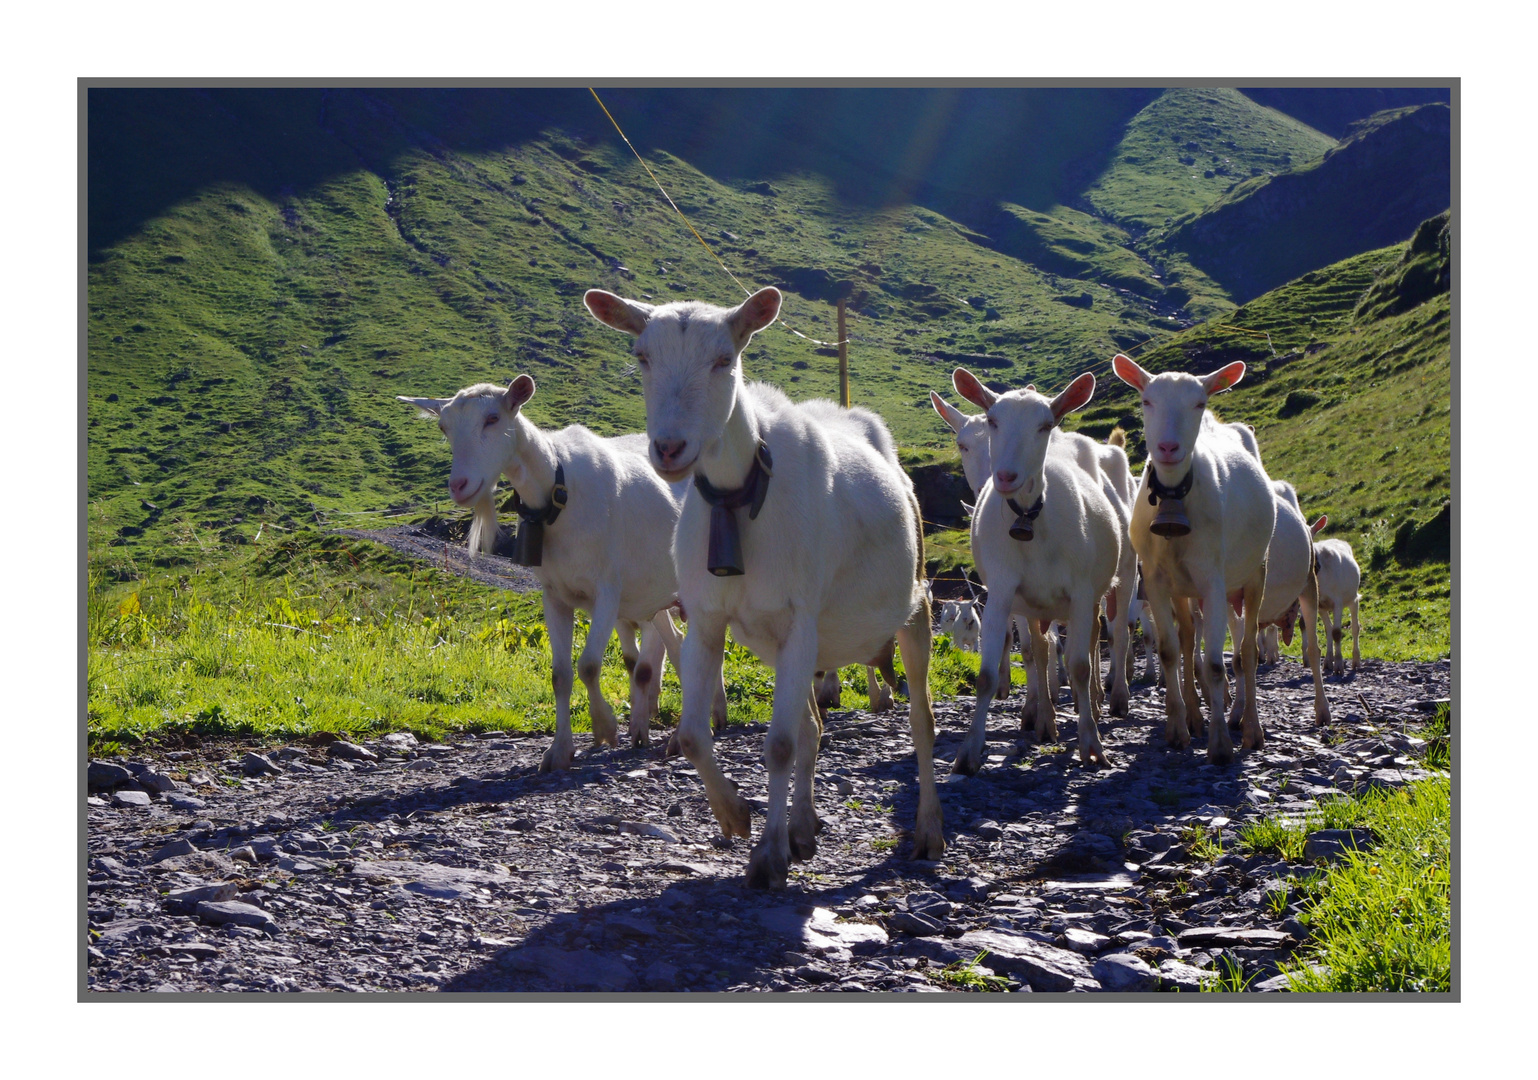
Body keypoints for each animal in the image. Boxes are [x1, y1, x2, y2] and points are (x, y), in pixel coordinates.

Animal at [402, 376, 725, 775]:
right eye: (443, 427)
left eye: (493, 418)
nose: (459, 485)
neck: (559, 488)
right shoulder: (554, 595)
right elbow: (560, 675)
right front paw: (559, 751)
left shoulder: (608, 591)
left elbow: (588, 665)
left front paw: (604, 727)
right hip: (657, 594)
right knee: (677, 647)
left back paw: (694, 729)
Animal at [587, 286, 941, 886]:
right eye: (642, 356)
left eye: (724, 359)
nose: (669, 449)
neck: (739, 496)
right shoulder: (707, 618)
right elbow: (693, 734)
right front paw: (736, 815)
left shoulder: (801, 618)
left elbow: (777, 745)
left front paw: (769, 854)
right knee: (813, 726)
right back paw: (803, 827)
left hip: (912, 610)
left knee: (921, 721)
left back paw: (928, 832)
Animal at [953, 367, 1138, 775]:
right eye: (993, 420)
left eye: (1044, 425)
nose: (1005, 476)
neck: (1029, 518)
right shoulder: (1002, 593)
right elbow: (990, 674)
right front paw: (969, 752)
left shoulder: (1082, 593)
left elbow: (1081, 666)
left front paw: (1091, 744)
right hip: (1036, 605)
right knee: (1042, 649)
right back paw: (1046, 720)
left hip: (1121, 576)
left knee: (1112, 633)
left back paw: (1111, 698)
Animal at [1119, 353, 1273, 763]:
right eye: (1146, 400)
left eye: (1198, 403)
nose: (1168, 447)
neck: (1175, 496)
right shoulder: (1156, 579)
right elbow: (1171, 651)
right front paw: (1177, 729)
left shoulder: (1212, 579)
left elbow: (1217, 663)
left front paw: (1220, 744)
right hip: (1182, 588)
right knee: (1189, 641)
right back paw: (1193, 715)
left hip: (1254, 573)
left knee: (1247, 651)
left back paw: (1250, 729)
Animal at [1304, 516, 1365, 676]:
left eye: (1311, 535)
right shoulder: (1319, 605)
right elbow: (1329, 631)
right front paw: (1329, 661)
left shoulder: (1338, 602)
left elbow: (1337, 632)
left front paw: (1338, 665)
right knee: (1329, 629)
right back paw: (1328, 662)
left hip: (1353, 599)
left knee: (1355, 627)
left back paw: (1356, 661)